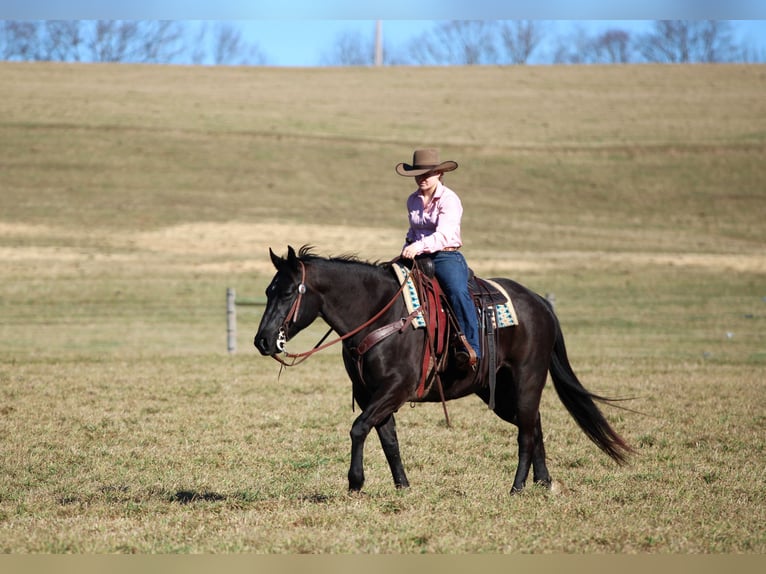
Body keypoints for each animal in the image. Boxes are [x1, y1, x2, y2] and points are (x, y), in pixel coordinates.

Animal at [254, 245, 634, 495]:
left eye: (287, 293)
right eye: (268, 290)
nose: (263, 340)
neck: (379, 313)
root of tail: (539, 302)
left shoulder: (396, 387)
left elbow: (359, 428)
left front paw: (355, 483)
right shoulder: (370, 393)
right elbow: (387, 437)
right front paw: (403, 487)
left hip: (528, 378)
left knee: (526, 431)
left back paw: (517, 487)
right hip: (497, 390)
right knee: (534, 424)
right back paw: (543, 482)